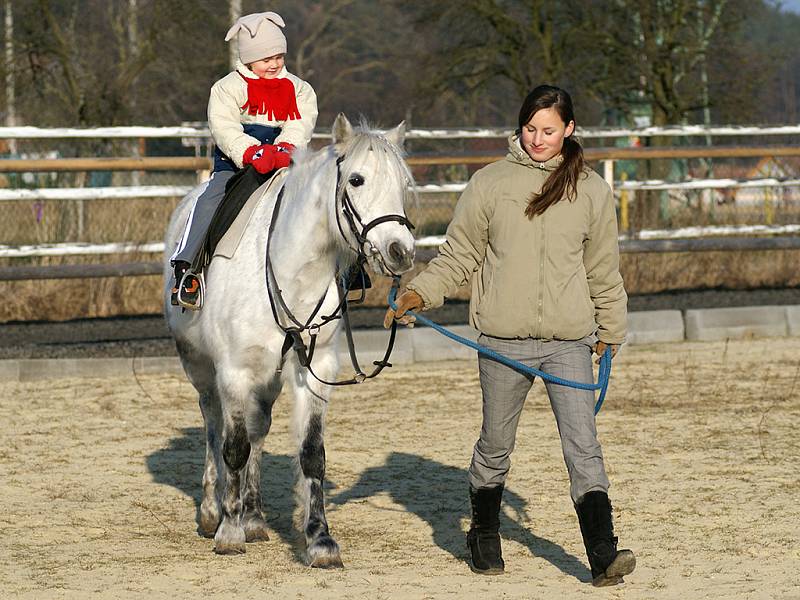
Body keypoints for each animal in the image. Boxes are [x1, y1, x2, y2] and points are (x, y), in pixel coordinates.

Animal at [161, 113, 412, 568]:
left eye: (403, 183)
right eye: (356, 180)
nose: (401, 251)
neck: (290, 270)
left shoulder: (315, 369)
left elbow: (311, 453)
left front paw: (320, 540)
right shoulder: (233, 371)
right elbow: (234, 447)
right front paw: (228, 531)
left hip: (270, 377)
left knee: (258, 429)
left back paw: (254, 517)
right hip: (199, 366)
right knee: (213, 426)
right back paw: (212, 512)